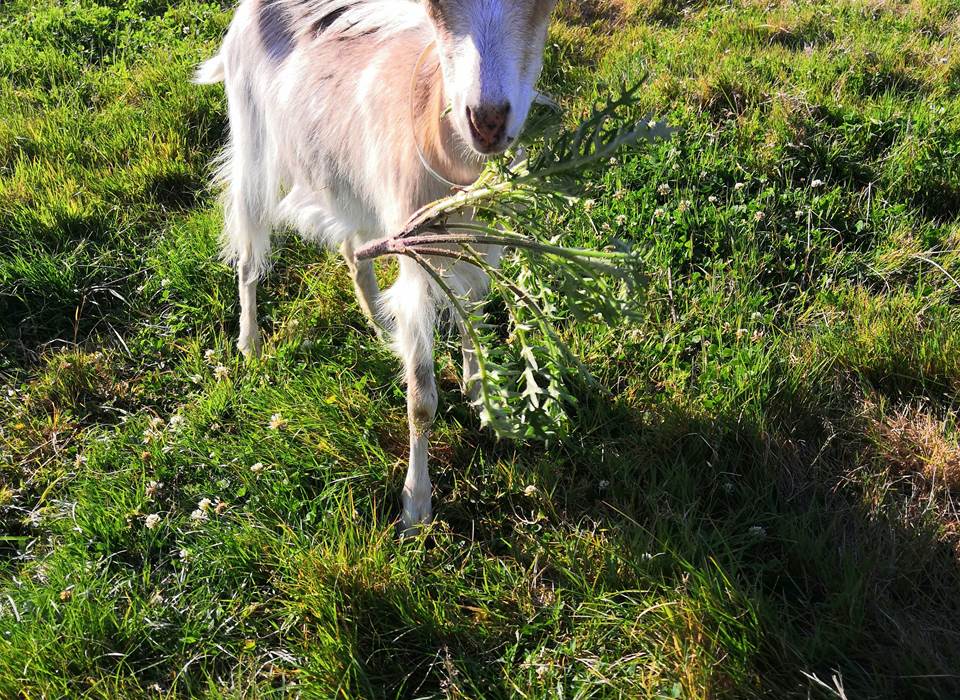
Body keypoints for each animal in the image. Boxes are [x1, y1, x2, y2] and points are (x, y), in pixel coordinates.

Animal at [195, 0, 558, 532]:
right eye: (435, 8)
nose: (486, 120)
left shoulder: (474, 251)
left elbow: (472, 323)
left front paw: (482, 398)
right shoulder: (417, 261)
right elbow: (421, 400)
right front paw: (416, 506)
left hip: (343, 171)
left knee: (352, 247)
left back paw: (377, 323)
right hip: (253, 142)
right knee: (248, 247)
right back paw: (251, 343)